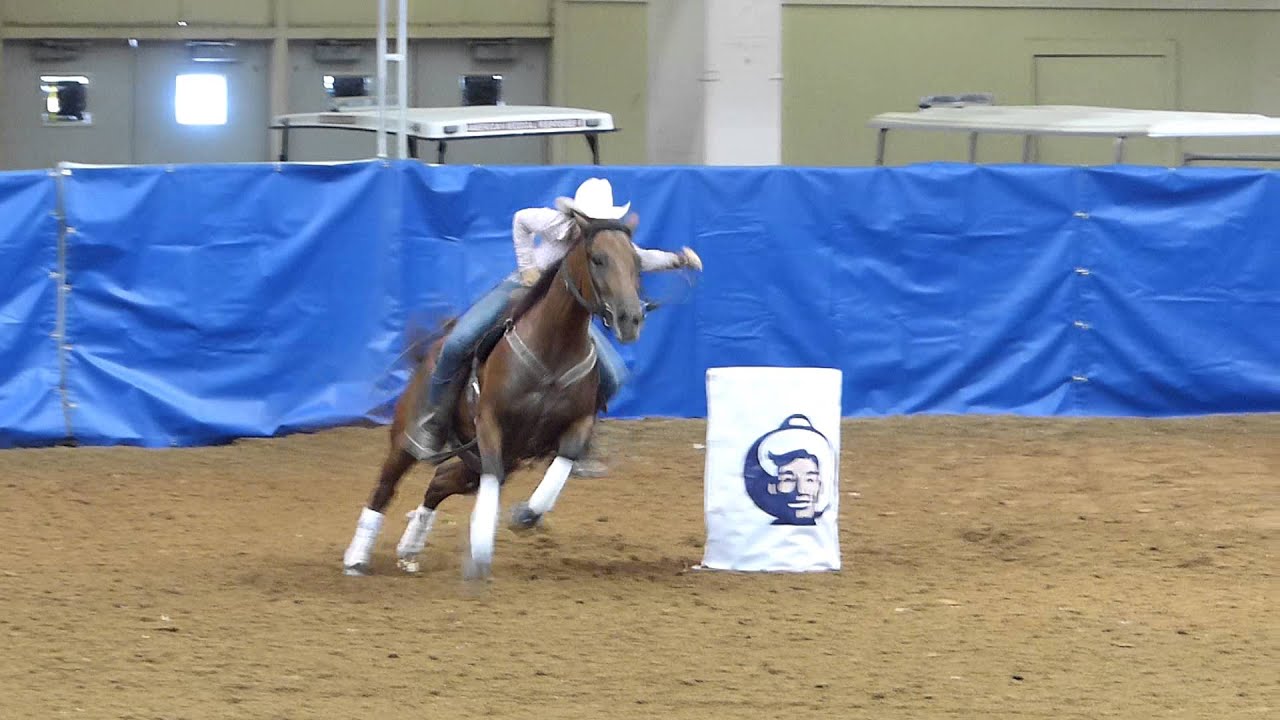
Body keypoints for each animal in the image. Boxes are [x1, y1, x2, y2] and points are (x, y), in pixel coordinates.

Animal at [341, 211, 650, 580]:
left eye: (636, 261)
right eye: (598, 259)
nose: (631, 318)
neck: (553, 351)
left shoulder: (576, 424)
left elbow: (559, 469)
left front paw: (525, 515)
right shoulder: (489, 422)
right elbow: (491, 479)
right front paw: (481, 546)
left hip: (486, 459)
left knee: (439, 482)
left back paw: (410, 549)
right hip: (408, 438)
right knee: (386, 486)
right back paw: (357, 557)